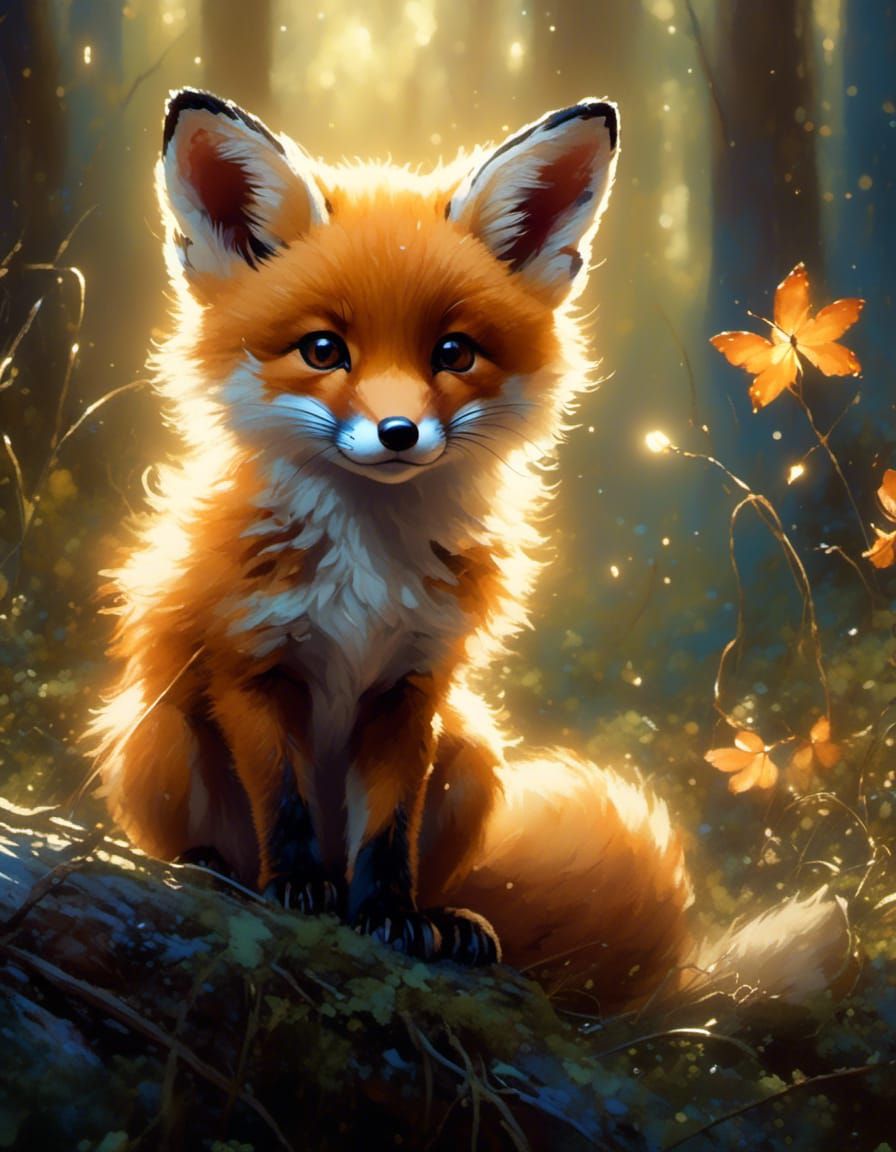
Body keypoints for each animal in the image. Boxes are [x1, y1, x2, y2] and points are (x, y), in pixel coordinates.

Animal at [90, 88, 851, 1012]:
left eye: (453, 353)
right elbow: (284, 803)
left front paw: (391, 915)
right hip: (154, 730)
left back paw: (444, 917)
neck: (366, 570)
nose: (398, 432)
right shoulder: (251, 665)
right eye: (322, 349)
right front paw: (297, 888)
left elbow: (388, 832)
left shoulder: (413, 688)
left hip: (474, 749)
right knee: (204, 842)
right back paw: (215, 870)